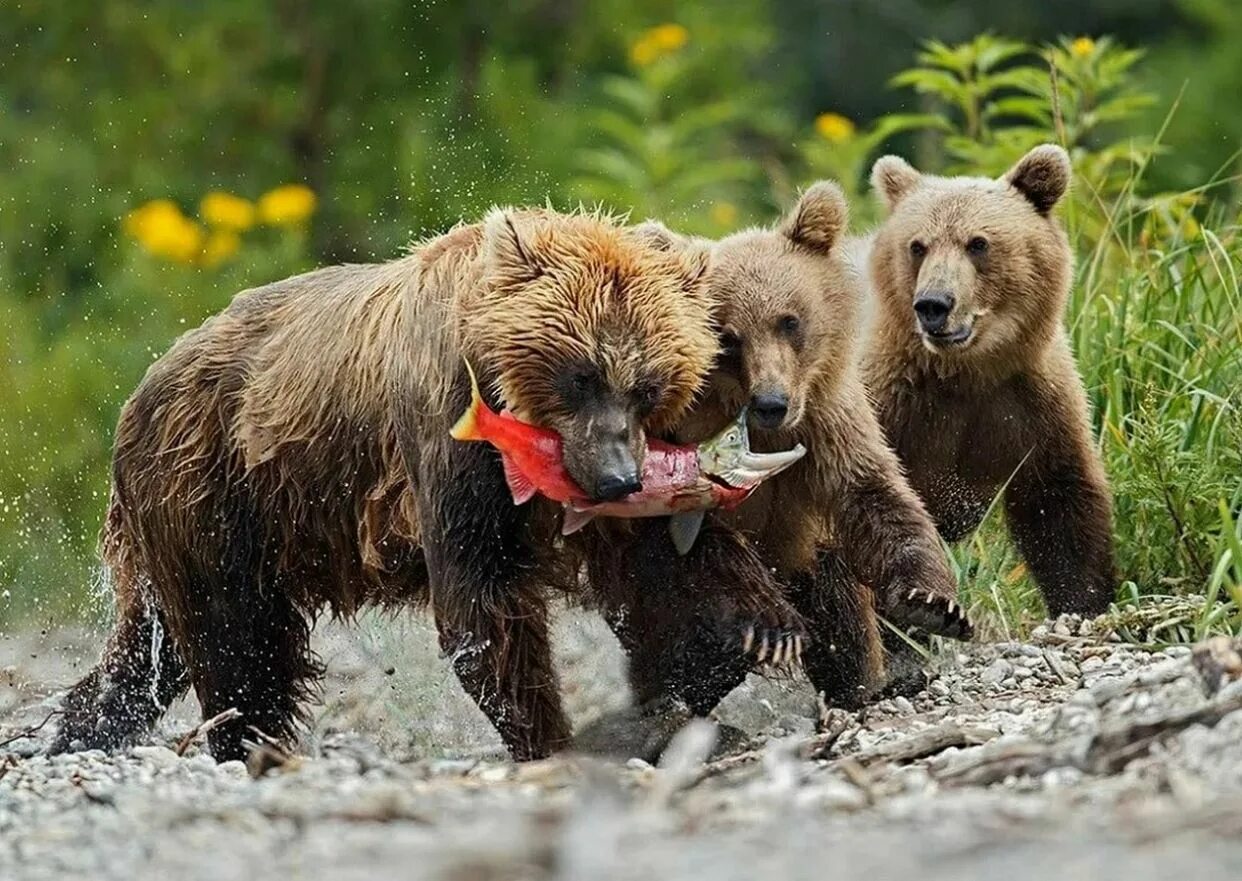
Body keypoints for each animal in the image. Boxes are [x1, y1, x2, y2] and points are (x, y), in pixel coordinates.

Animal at [50, 207, 745, 760]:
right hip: (214, 483)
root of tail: (142, 386)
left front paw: (709, 660)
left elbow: (664, 562)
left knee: (154, 643)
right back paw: (243, 739)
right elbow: (480, 596)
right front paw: (549, 735)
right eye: (580, 374)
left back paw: (79, 728)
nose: (615, 478)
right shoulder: (450, 437)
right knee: (235, 635)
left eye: (648, 385)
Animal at [583, 180, 968, 720]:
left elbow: (877, 497)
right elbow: (696, 544)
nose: (770, 402)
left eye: (789, 321)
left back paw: (865, 684)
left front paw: (933, 603)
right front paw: (771, 630)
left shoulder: (827, 423)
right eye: (727, 337)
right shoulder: (670, 450)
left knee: (839, 606)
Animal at [864, 144, 1117, 616]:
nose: (933, 304)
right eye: (917, 245)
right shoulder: (891, 402)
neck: (966, 372)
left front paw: (1084, 602)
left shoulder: (1033, 404)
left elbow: (1062, 505)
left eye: (978, 243)